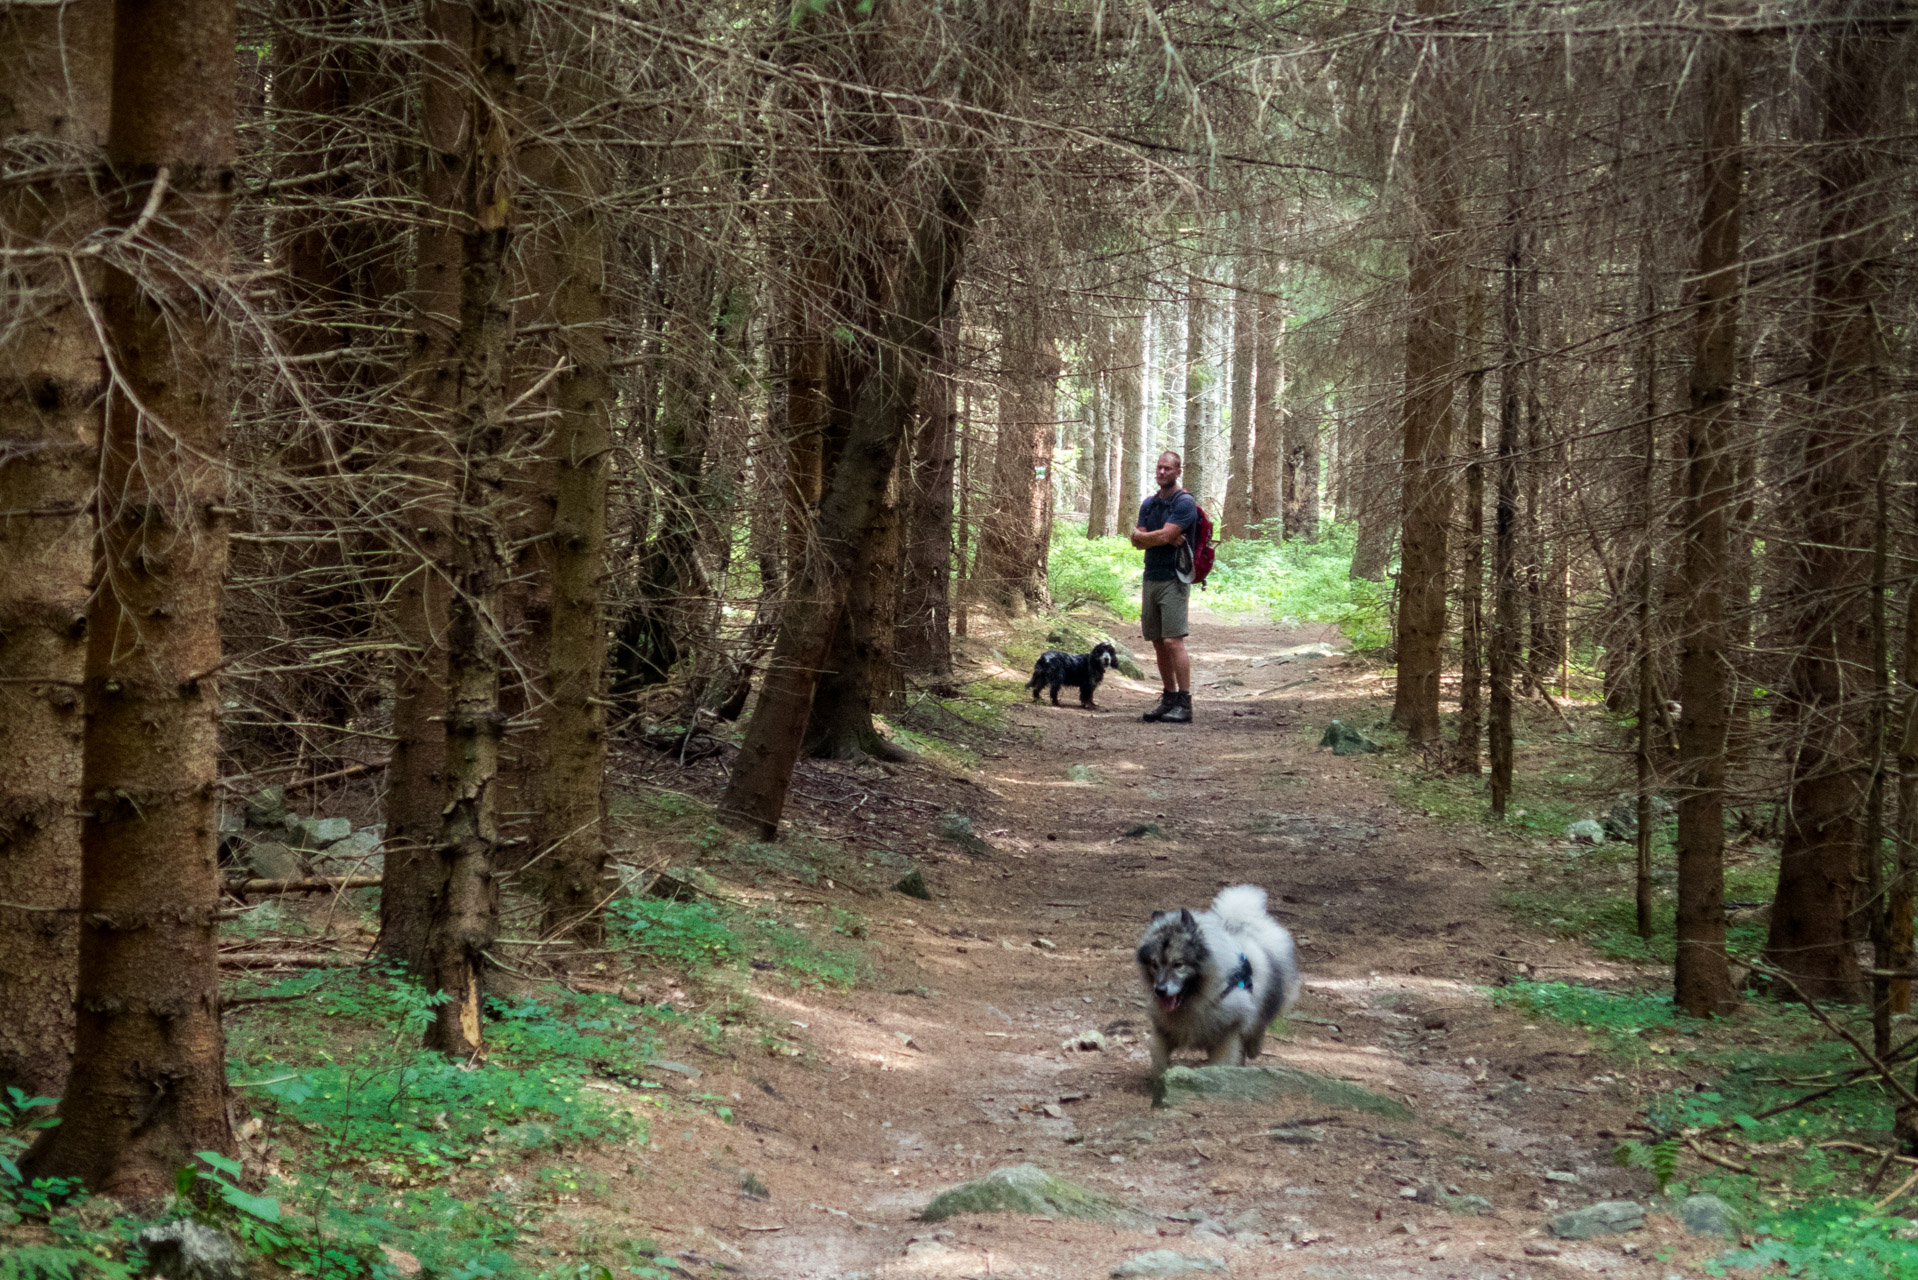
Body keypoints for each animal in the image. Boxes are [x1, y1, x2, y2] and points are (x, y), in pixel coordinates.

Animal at [1135, 886, 1304, 1074]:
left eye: (1178, 964)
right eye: (1154, 965)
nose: (1160, 990)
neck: (1196, 1000)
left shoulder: (1226, 1037)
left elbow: (1220, 1063)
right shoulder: (1163, 1032)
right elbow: (1158, 1058)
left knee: (1258, 1027)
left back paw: (1254, 1047)